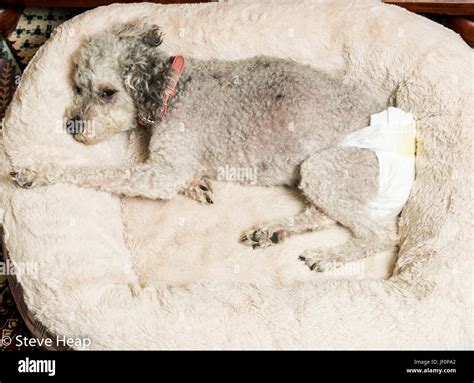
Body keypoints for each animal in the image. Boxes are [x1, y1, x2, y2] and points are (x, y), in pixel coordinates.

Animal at [10, 22, 400, 272]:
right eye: (78, 87)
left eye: (107, 92)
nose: (72, 125)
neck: (172, 90)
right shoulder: (168, 167)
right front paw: (196, 185)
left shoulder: (160, 173)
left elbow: (93, 172)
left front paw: (35, 171)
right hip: (323, 178)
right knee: (323, 214)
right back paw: (273, 230)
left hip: (326, 169)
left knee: (381, 235)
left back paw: (327, 256)